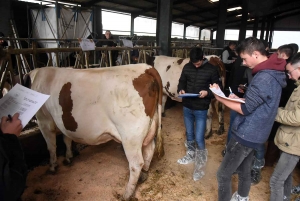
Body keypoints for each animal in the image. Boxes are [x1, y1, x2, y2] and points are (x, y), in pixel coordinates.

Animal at [28, 65, 164, 200]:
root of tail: (145, 68)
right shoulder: (62, 123)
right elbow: (66, 138)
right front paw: (68, 157)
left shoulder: (43, 120)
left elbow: (51, 146)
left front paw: (52, 166)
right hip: (149, 127)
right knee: (149, 150)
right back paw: (143, 175)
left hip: (130, 135)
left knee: (136, 163)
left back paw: (127, 194)